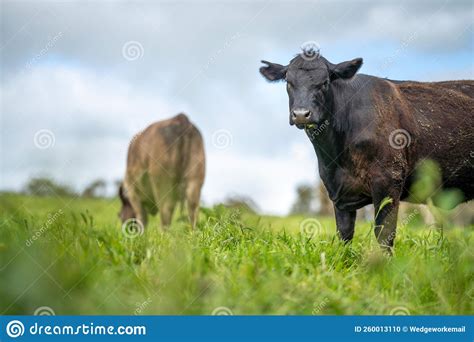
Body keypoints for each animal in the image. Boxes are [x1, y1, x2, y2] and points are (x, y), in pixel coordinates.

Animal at [262, 52, 472, 248]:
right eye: (288, 82)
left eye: (325, 82)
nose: (301, 114)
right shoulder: (338, 193)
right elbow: (344, 236)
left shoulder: (389, 180)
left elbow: (384, 235)